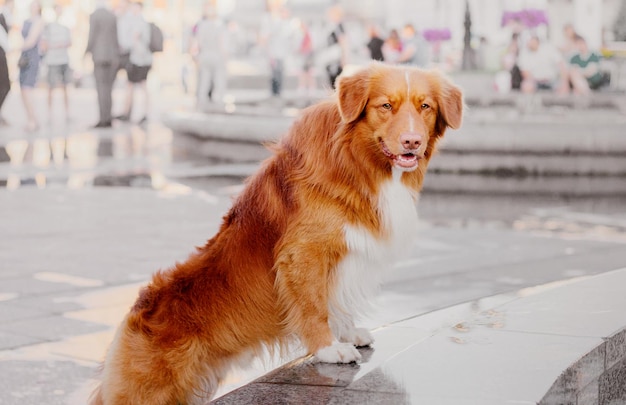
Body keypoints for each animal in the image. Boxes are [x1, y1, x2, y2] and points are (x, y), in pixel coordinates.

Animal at [89, 63, 458, 404]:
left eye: (426, 107)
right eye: (386, 106)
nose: (412, 141)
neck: (356, 162)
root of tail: (136, 313)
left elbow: (334, 299)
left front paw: (348, 332)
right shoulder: (304, 253)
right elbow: (315, 305)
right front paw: (329, 349)